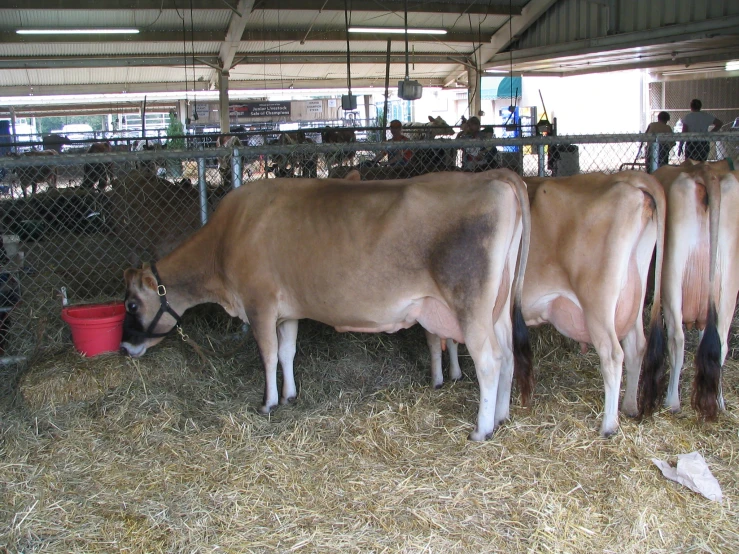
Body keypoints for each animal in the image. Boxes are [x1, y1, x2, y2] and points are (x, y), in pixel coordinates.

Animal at [124, 170, 536, 438]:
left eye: (130, 305)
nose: (126, 346)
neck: (226, 238)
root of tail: (496, 180)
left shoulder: (259, 305)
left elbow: (267, 355)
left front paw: (268, 403)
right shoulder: (286, 312)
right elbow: (287, 352)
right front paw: (290, 395)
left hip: (470, 305)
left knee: (489, 360)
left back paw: (481, 429)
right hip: (497, 308)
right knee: (508, 355)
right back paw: (501, 417)